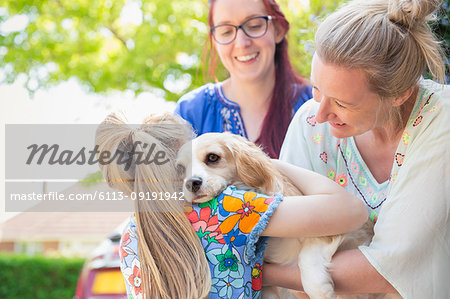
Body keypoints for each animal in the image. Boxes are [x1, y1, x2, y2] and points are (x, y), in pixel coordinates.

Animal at [177, 133, 384, 299]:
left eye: (212, 157)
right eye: (181, 169)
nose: (191, 183)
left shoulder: (347, 232)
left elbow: (307, 255)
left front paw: (320, 289)